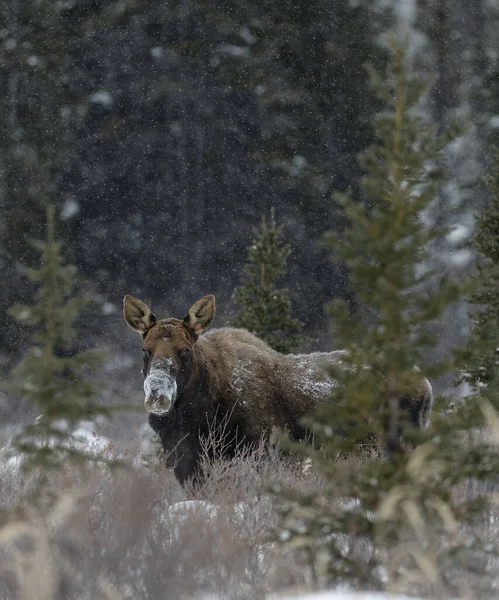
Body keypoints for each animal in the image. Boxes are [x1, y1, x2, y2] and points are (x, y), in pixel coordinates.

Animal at [123, 296, 432, 488]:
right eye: (145, 350)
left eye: (185, 350)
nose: (158, 395)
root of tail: (426, 385)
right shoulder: (187, 462)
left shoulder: (263, 453)